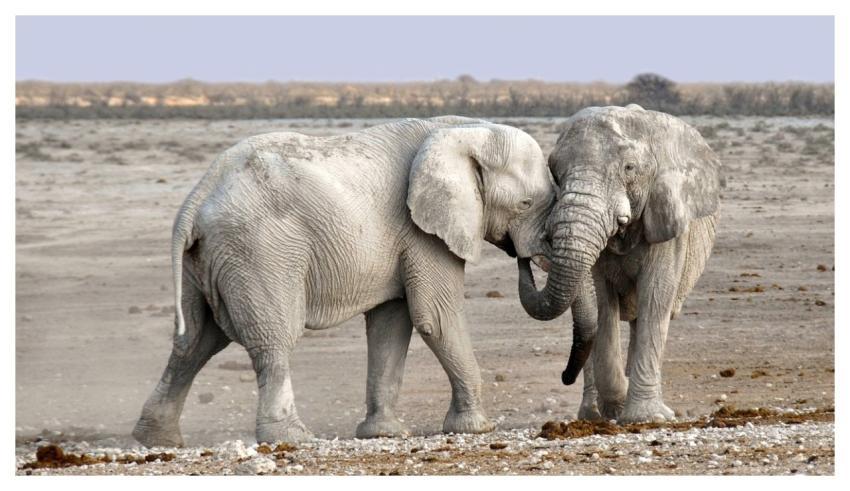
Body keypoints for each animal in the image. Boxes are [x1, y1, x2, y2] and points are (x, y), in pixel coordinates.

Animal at [132, 116, 558, 447]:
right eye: (525, 204)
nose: (524, 258)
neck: (463, 130)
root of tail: (197, 196)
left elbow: (391, 324)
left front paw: (383, 434)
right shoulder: (423, 232)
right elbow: (435, 318)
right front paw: (476, 428)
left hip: (207, 259)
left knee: (195, 341)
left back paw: (156, 440)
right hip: (259, 251)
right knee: (273, 339)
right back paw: (292, 438)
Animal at [517, 105, 723, 423]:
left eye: (629, 168)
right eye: (554, 171)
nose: (523, 256)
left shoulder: (667, 220)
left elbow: (656, 296)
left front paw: (646, 418)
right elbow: (602, 303)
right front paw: (617, 406)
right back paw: (593, 414)